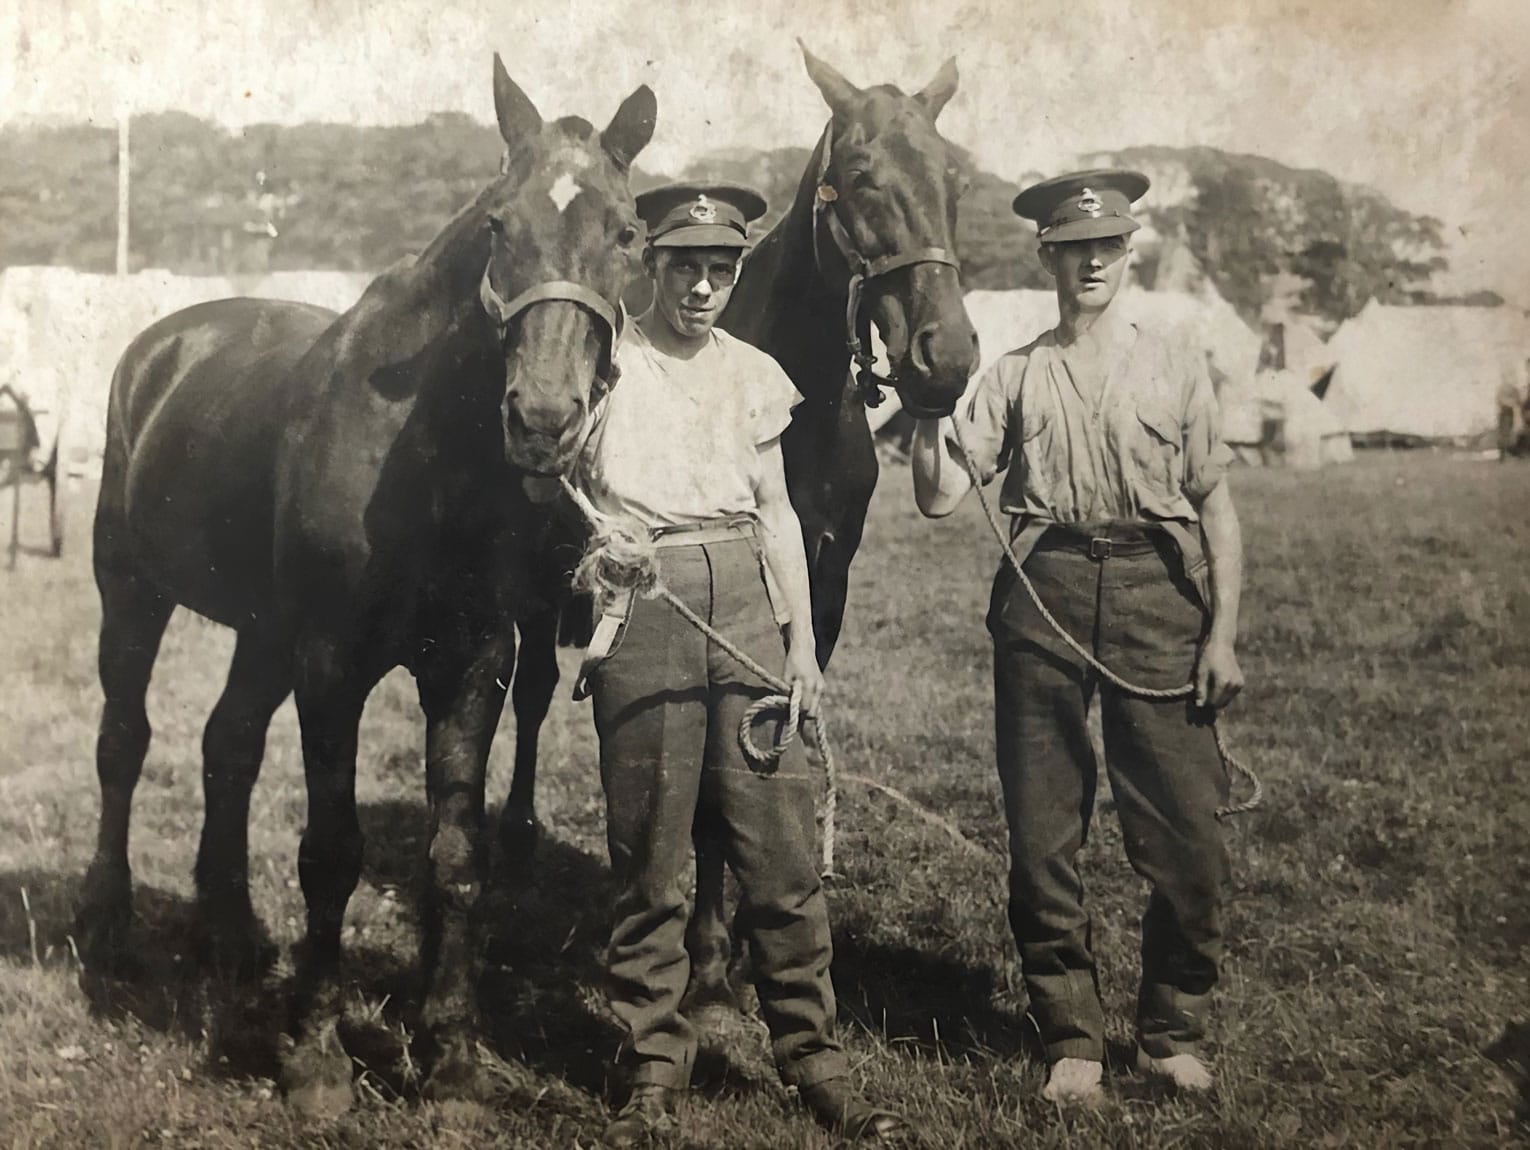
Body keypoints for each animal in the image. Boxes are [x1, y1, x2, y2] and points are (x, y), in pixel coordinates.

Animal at [75, 55, 656, 1115]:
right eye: (498, 224)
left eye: (627, 231)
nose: (542, 418)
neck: (424, 457)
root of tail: (162, 347)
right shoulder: (331, 664)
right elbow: (331, 851)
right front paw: (314, 1055)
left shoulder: (474, 664)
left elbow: (457, 854)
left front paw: (452, 1051)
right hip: (130, 590)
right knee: (124, 739)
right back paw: (108, 921)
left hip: (261, 631)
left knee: (227, 744)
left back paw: (231, 934)